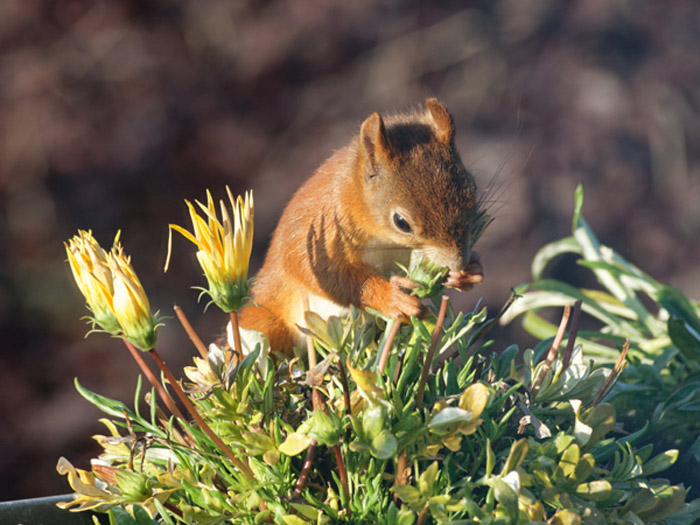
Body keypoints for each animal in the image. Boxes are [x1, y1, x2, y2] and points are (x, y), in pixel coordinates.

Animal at [239, 97, 482, 352]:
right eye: (401, 222)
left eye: (472, 189)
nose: (457, 263)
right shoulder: (321, 228)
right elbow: (319, 272)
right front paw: (391, 298)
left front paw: (469, 271)